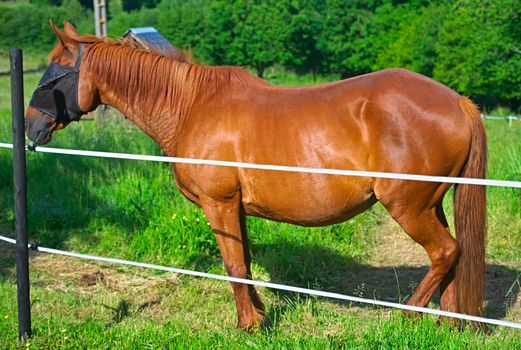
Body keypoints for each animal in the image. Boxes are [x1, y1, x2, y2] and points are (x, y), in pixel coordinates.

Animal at [26, 21, 486, 328]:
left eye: (54, 73)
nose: (30, 127)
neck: (192, 105)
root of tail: (457, 102)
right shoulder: (237, 209)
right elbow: (244, 261)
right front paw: (260, 315)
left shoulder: (219, 204)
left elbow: (232, 265)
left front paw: (248, 325)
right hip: (431, 203)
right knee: (454, 253)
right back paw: (448, 320)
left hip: (408, 205)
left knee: (445, 251)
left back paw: (408, 315)